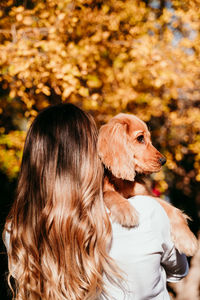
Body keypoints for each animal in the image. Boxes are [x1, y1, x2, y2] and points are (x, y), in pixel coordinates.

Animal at [97, 113, 198, 256]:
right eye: (140, 138)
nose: (164, 161)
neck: (122, 181)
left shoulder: (147, 196)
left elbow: (173, 209)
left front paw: (187, 240)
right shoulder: (104, 190)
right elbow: (110, 193)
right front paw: (126, 209)